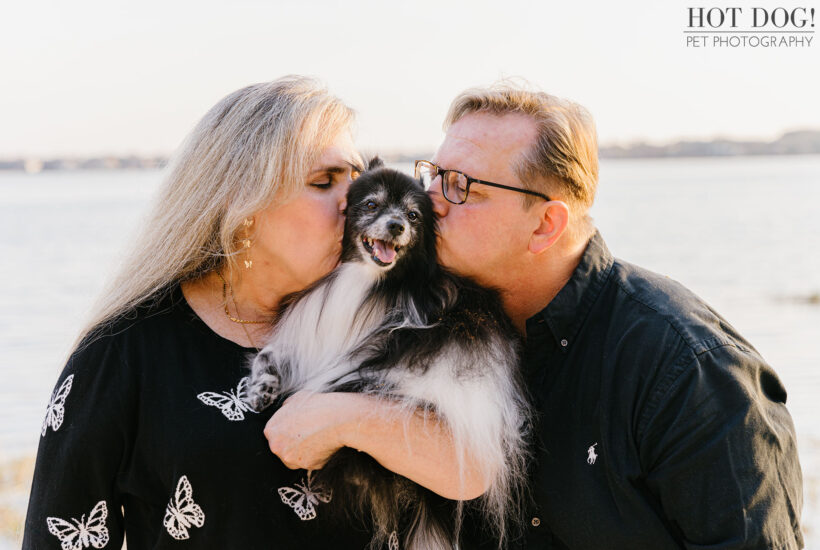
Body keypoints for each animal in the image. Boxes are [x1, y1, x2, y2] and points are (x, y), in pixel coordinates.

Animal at [247, 160, 532, 550]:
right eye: (371, 205)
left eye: (413, 215)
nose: (397, 225)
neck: (367, 280)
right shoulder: (307, 341)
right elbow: (268, 355)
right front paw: (260, 388)